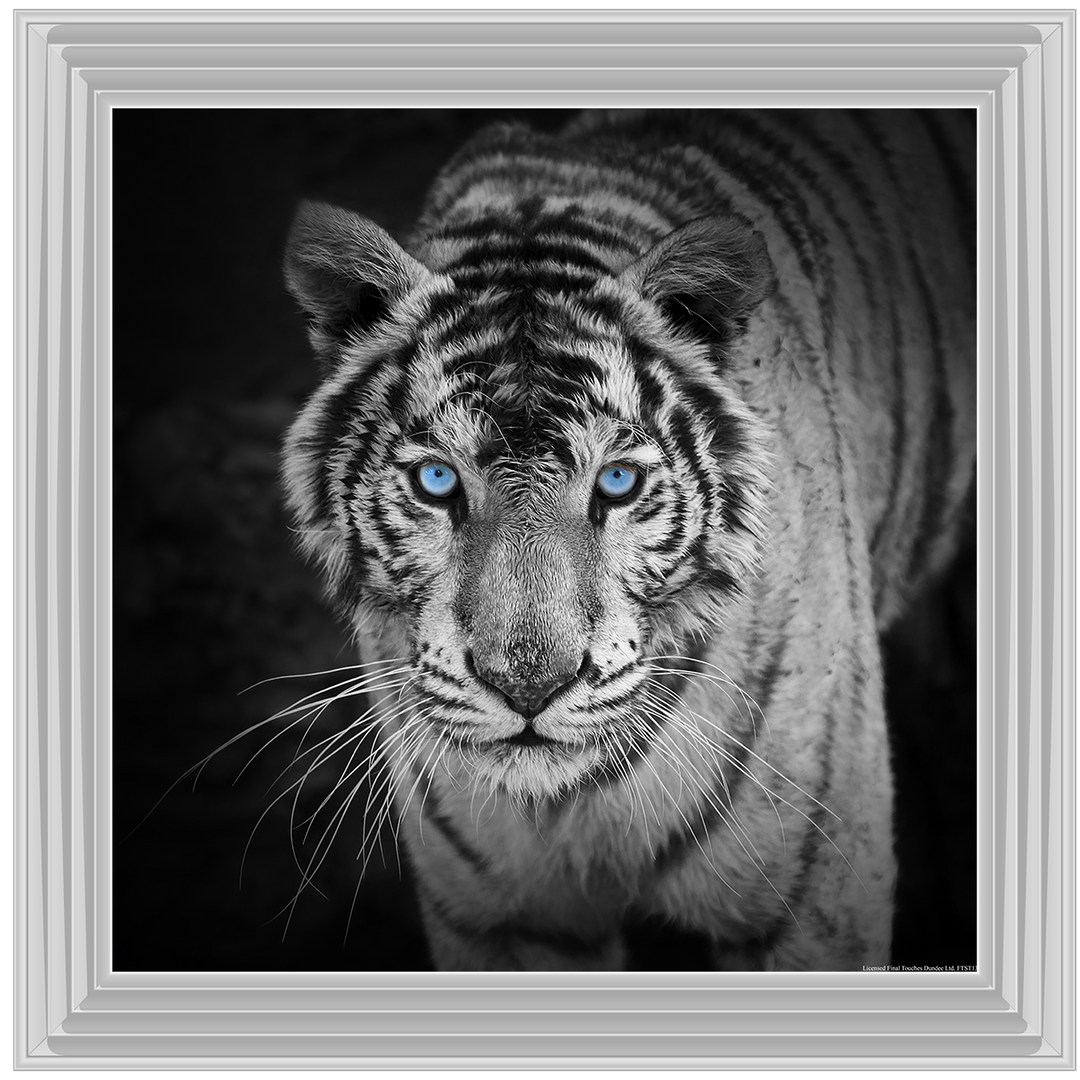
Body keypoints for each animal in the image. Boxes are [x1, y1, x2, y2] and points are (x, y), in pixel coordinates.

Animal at [280, 109, 975, 971]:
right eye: (438, 481)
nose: (528, 688)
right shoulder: (504, 919)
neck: (570, 804)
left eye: (616, 483)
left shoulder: (809, 907)